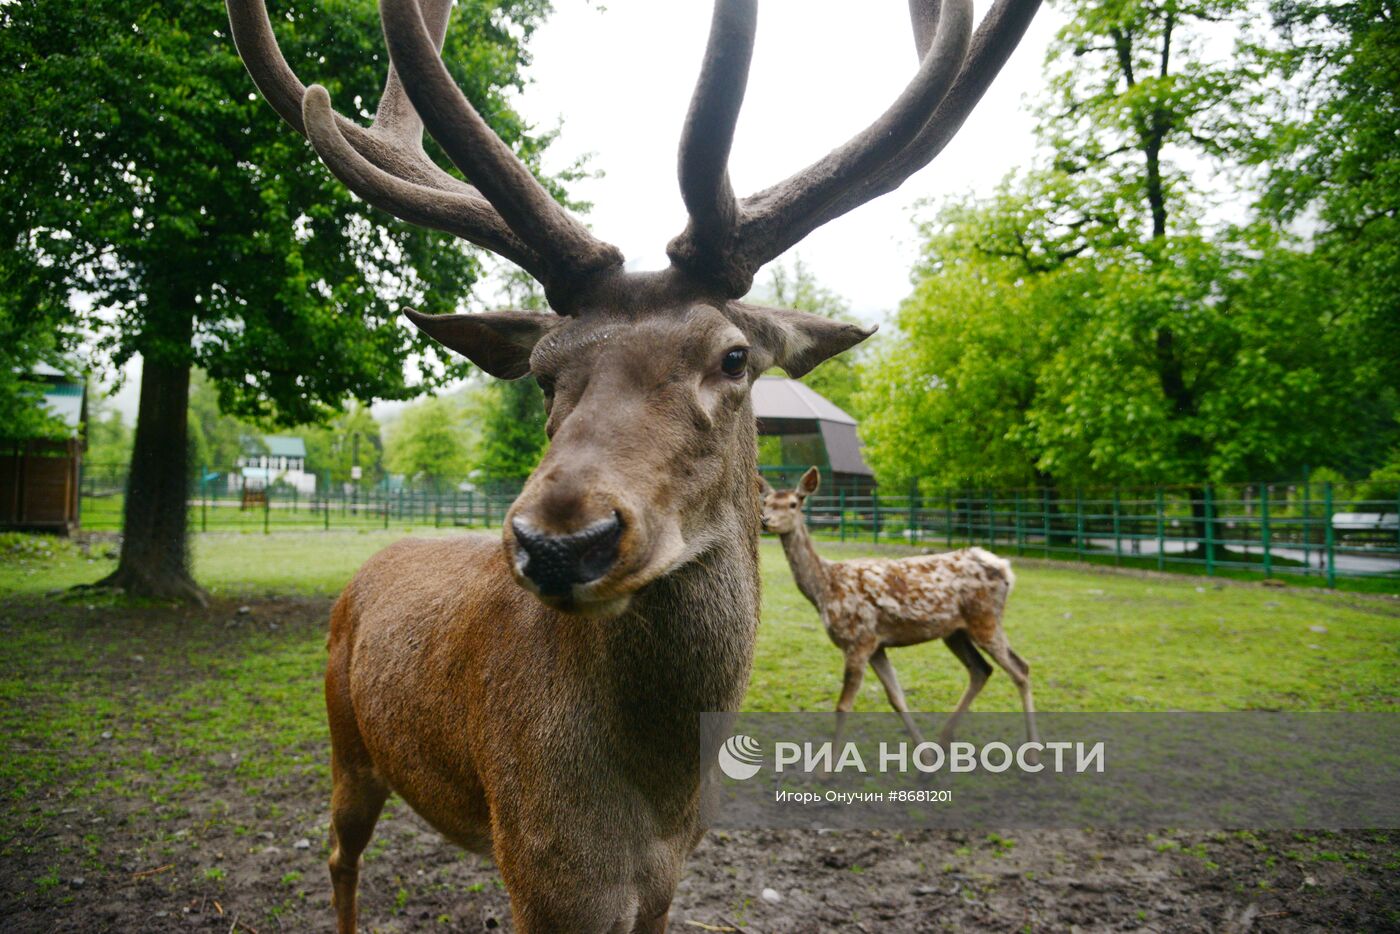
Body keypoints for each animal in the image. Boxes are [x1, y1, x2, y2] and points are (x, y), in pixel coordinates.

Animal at [761, 467, 1036, 750]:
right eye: (766, 502)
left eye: (793, 503)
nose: (765, 520)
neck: (824, 590)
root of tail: (1005, 569)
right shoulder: (877, 645)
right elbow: (897, 699)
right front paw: (925, 757)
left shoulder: (858, 639)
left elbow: (843, 706)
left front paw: (827, 764)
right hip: (955, 632)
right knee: (981, 670)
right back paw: (944, 739)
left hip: (985, 619)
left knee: (1021, 668)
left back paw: (1032, 750)